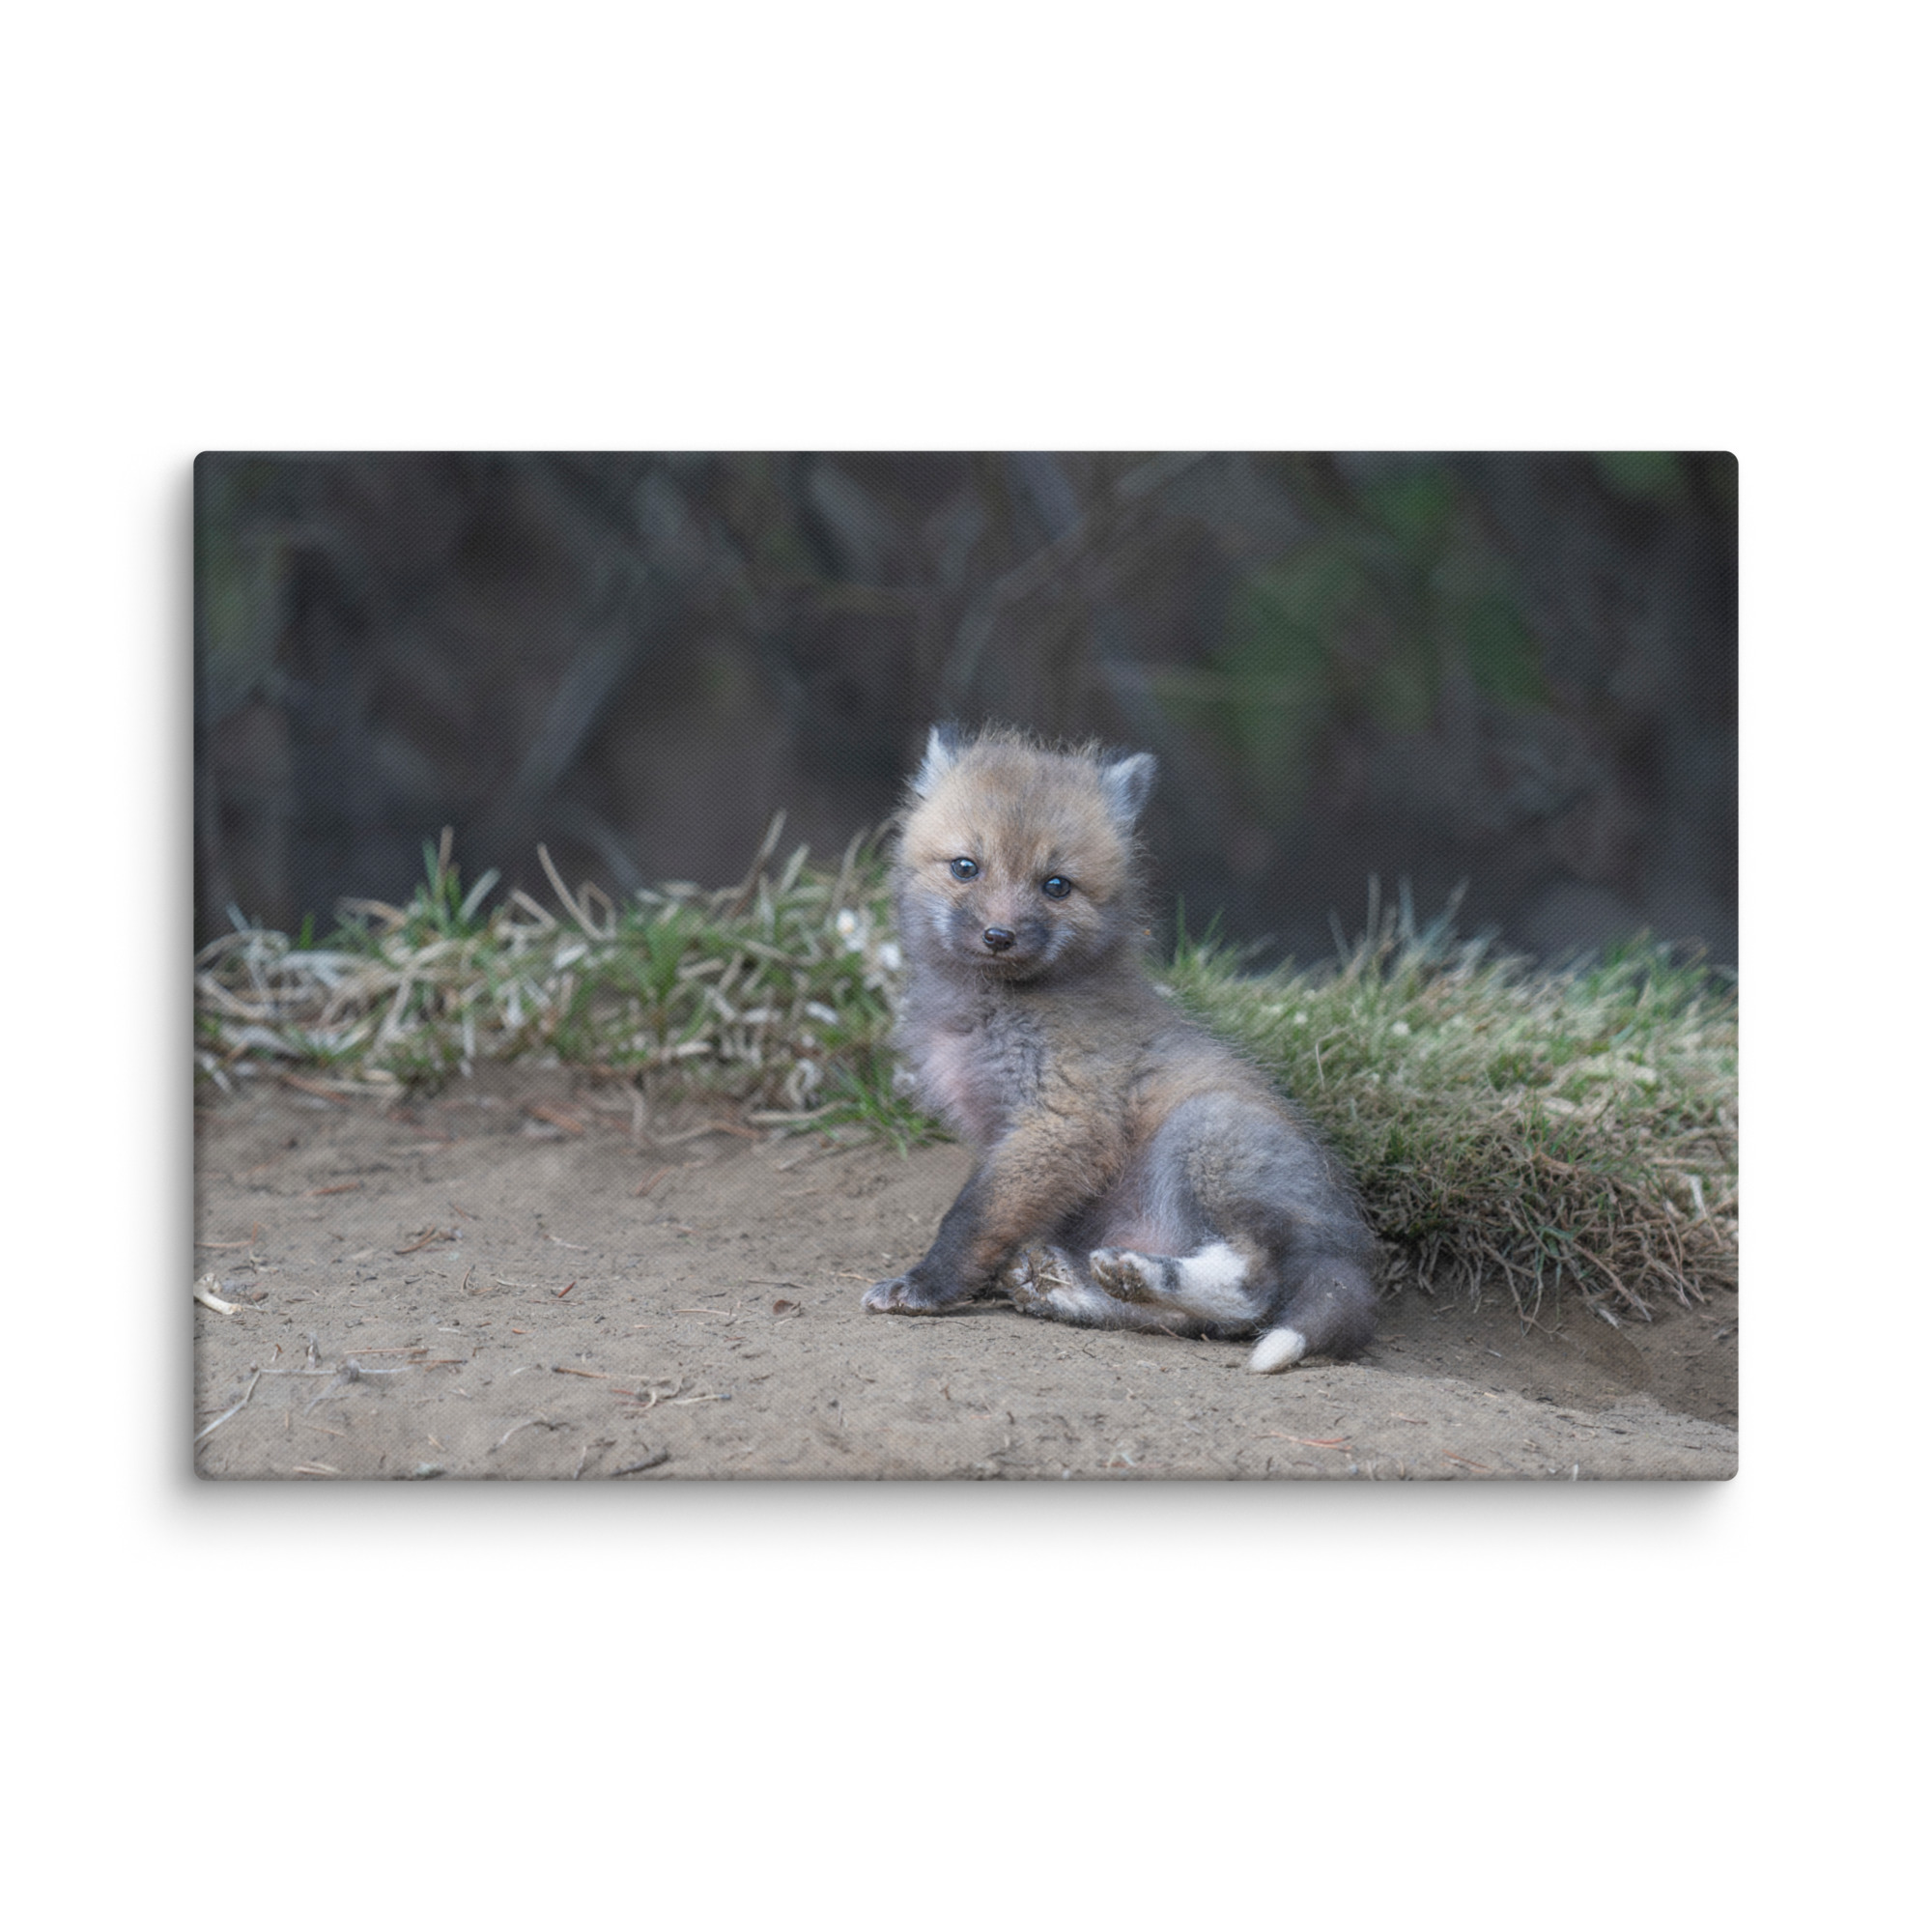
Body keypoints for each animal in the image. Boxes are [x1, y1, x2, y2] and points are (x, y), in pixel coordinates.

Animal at [862, 724, 1378, 1371]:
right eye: (965, 867)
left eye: (1056, 885)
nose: (999, 936)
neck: (991, 1010)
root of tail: (1348, 1245)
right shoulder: (1008, 1135)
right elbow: (994, 1219)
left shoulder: (1063, 1121)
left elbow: (971, 1218)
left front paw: (927, 1286)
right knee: (1193, 1322)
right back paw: (1071, 1288)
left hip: (1203, 1133)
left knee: (1252, 1289)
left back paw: (1137, 1274)